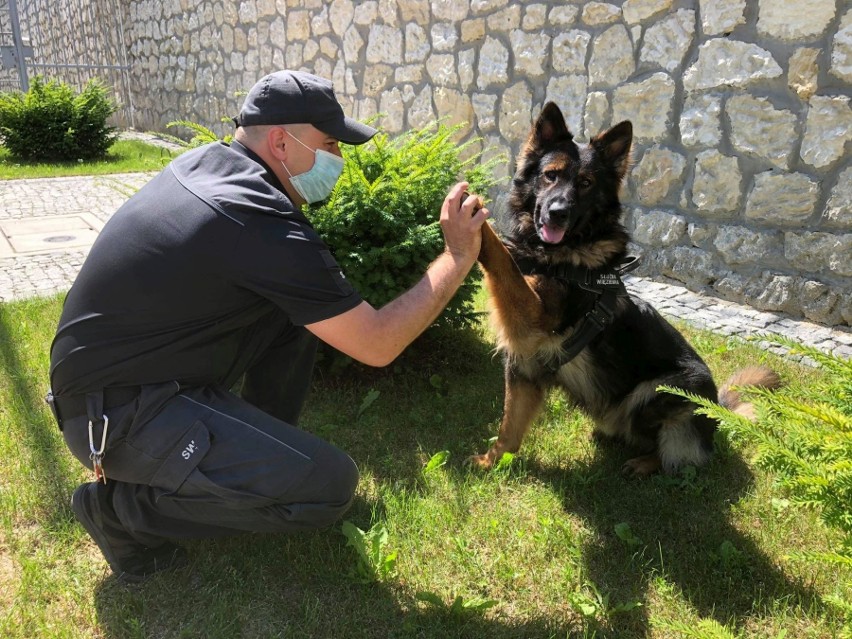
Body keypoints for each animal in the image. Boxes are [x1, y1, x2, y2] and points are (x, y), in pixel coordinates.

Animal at [472, 102, 780, 478]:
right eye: (550, 176)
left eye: (585, 183)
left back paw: (644, 463)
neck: (560, 256)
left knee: (673, 454)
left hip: (661, 388)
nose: (558, 213)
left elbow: (502, 259)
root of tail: (715, 409)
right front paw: (491, 462)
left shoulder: (535, 316)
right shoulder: (524, 365)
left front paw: (472, 214)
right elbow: (509, 426)